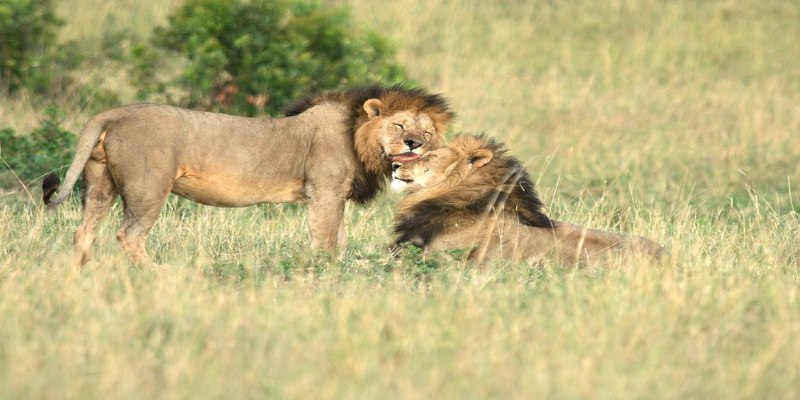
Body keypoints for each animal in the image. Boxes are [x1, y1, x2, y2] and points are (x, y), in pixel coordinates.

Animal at [42, 84, 454, 267]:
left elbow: (340, 241)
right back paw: (154, 273)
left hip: (101, 184)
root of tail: (114, 112)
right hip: (149, 187)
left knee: (84, 231)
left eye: (426, 132)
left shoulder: (333, 196)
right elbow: (326, 242)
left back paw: (81, 274)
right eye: (399, 125)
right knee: (128, 235)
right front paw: (324, 275)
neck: (357, 137)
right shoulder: (323, 192)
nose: (415, 143)